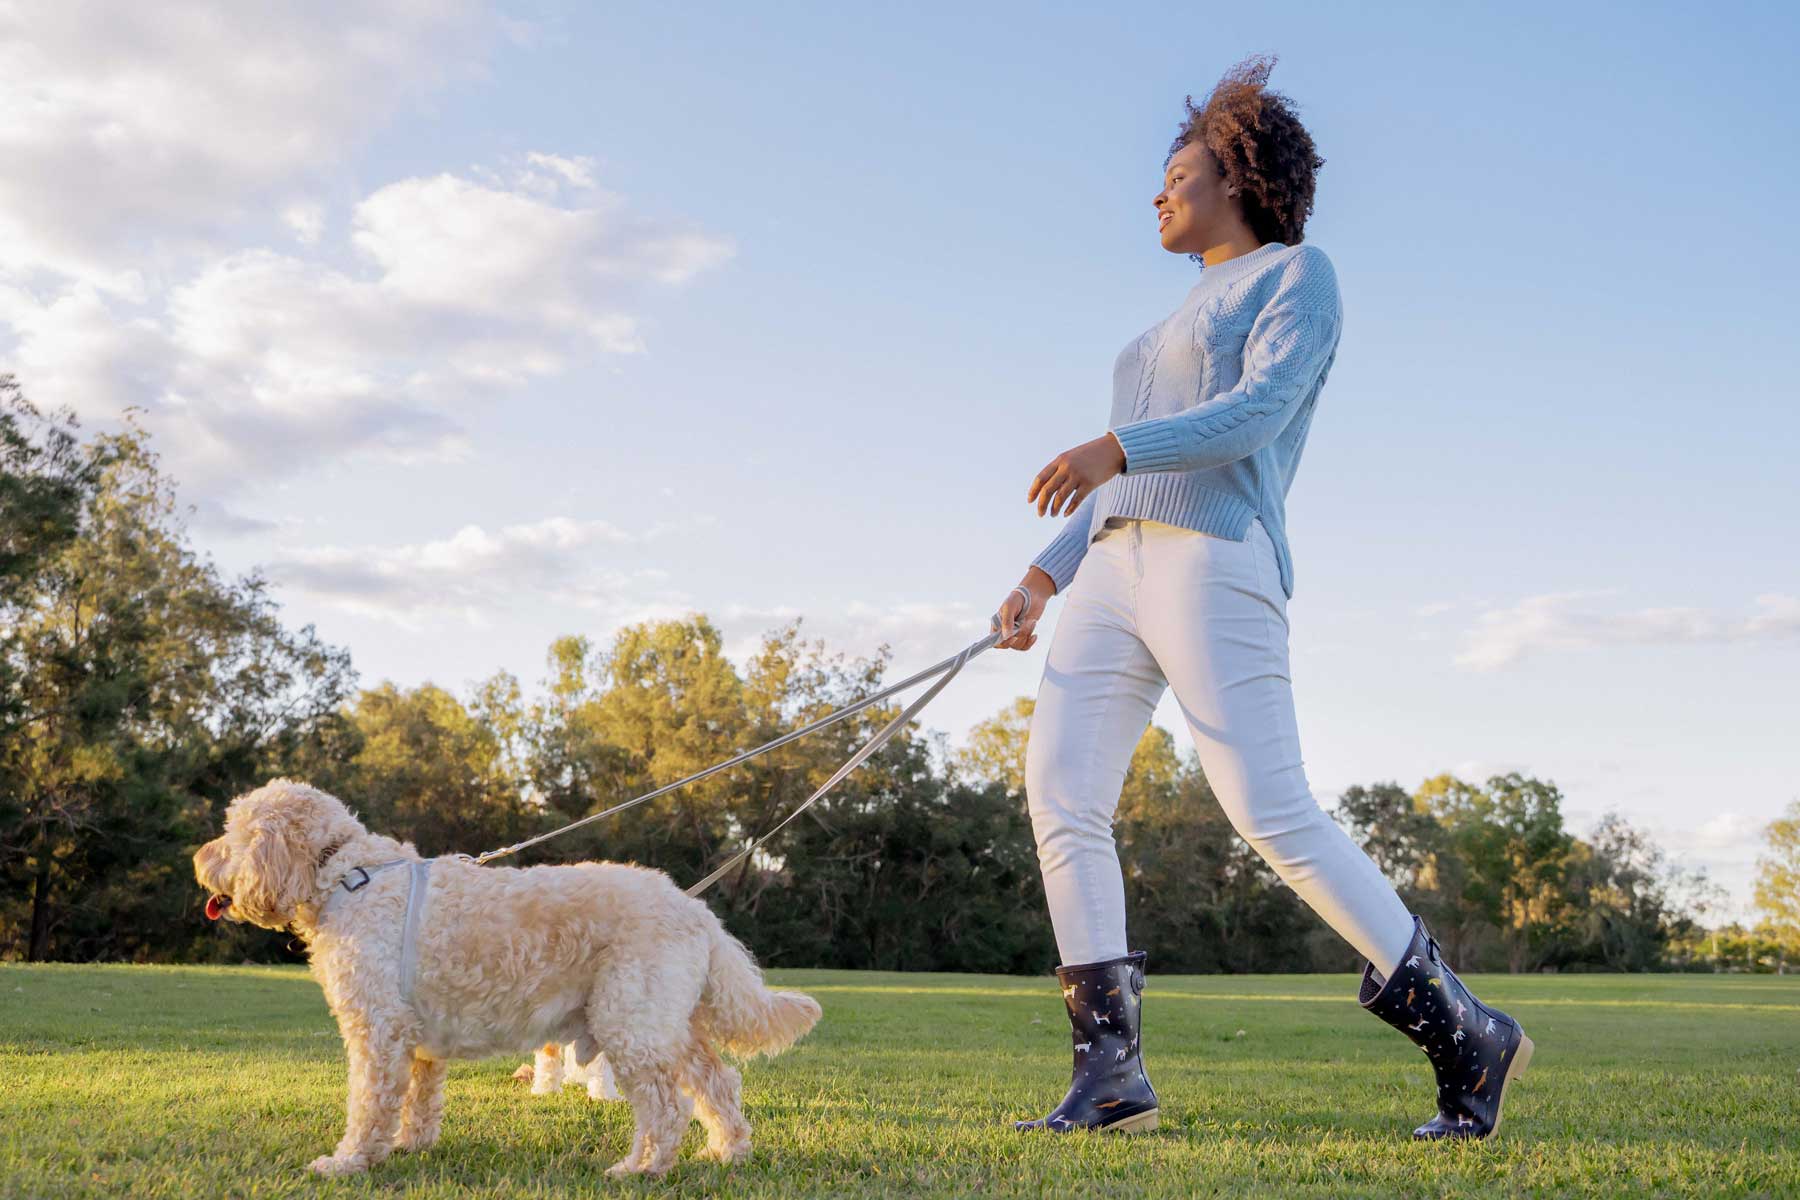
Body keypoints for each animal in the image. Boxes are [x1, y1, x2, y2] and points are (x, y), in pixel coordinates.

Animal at [191, 780, 824, 1180]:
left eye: (232, 832)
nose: (198, 859)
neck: (347, 874)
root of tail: (695, 910)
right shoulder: (415, 1042)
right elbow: (418, 1101)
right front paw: (410, 1146)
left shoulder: (377, 1032)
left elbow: (368, 1106)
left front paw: (347, 1163)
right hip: (667, 1026)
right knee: (718, 1084)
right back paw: (726, 1154)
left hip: (631, 1028)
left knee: (666, 1107)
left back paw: (640, 1169)